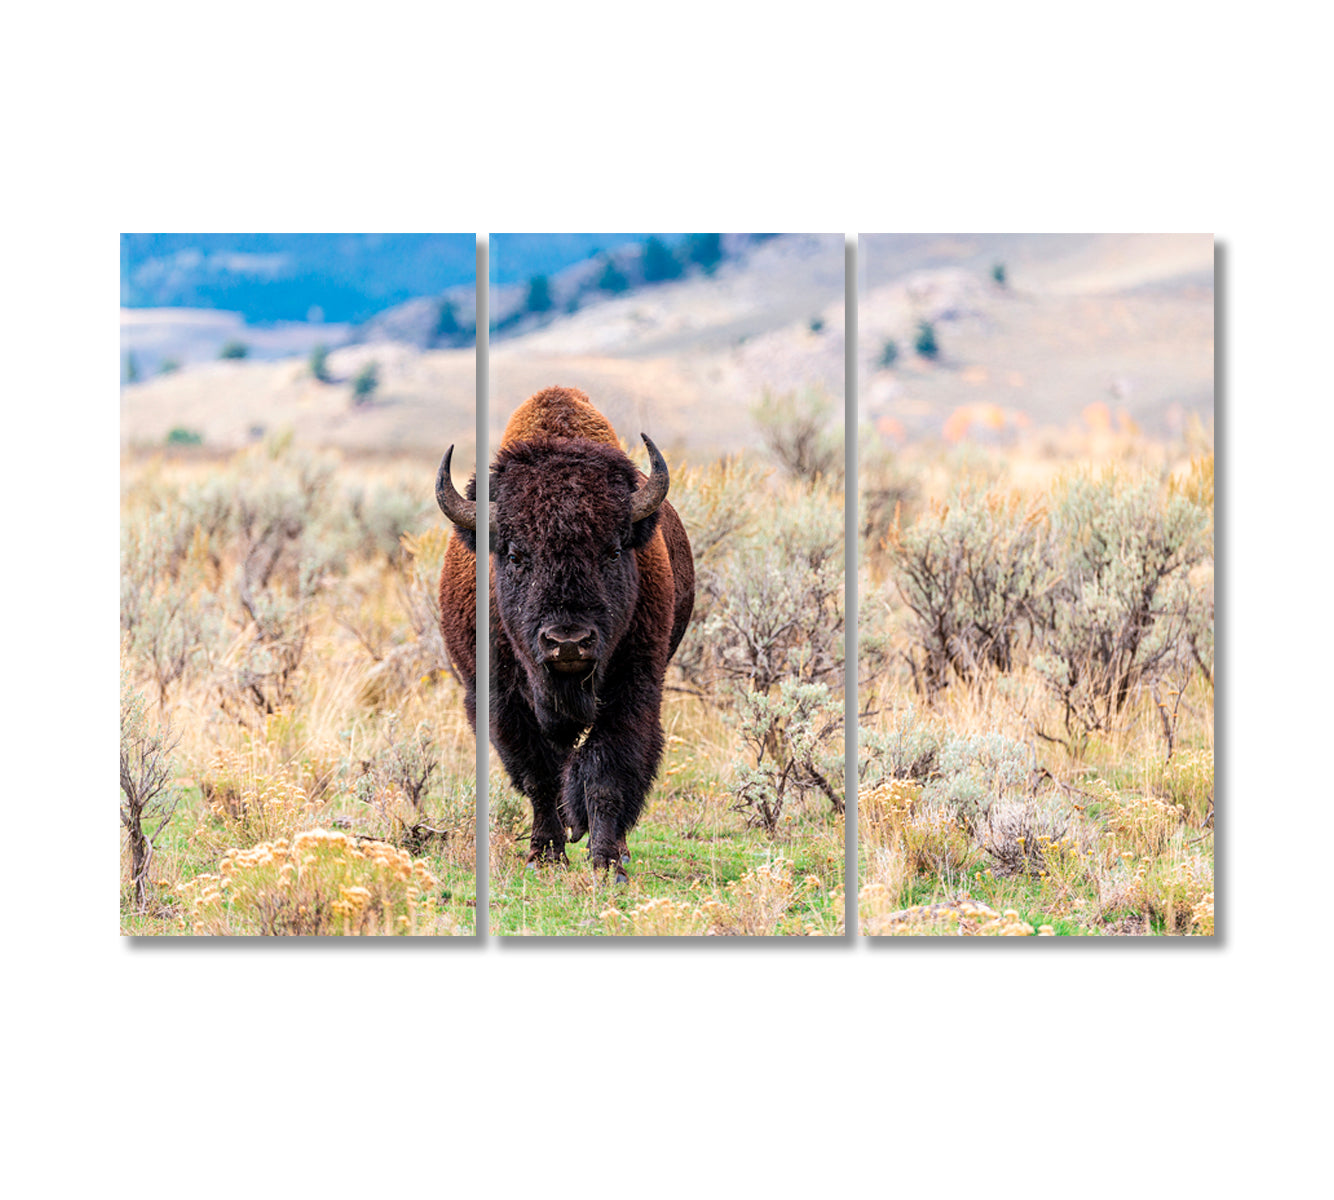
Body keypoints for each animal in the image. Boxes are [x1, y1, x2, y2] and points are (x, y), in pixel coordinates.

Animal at [434, 386, 693, 880]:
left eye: (613, 551)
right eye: (516, 555)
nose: (568, 642)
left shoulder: (633, 689)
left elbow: (607, 770)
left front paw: (607, 862)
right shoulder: (501, 700)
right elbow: (538, 773)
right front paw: (545, 854)